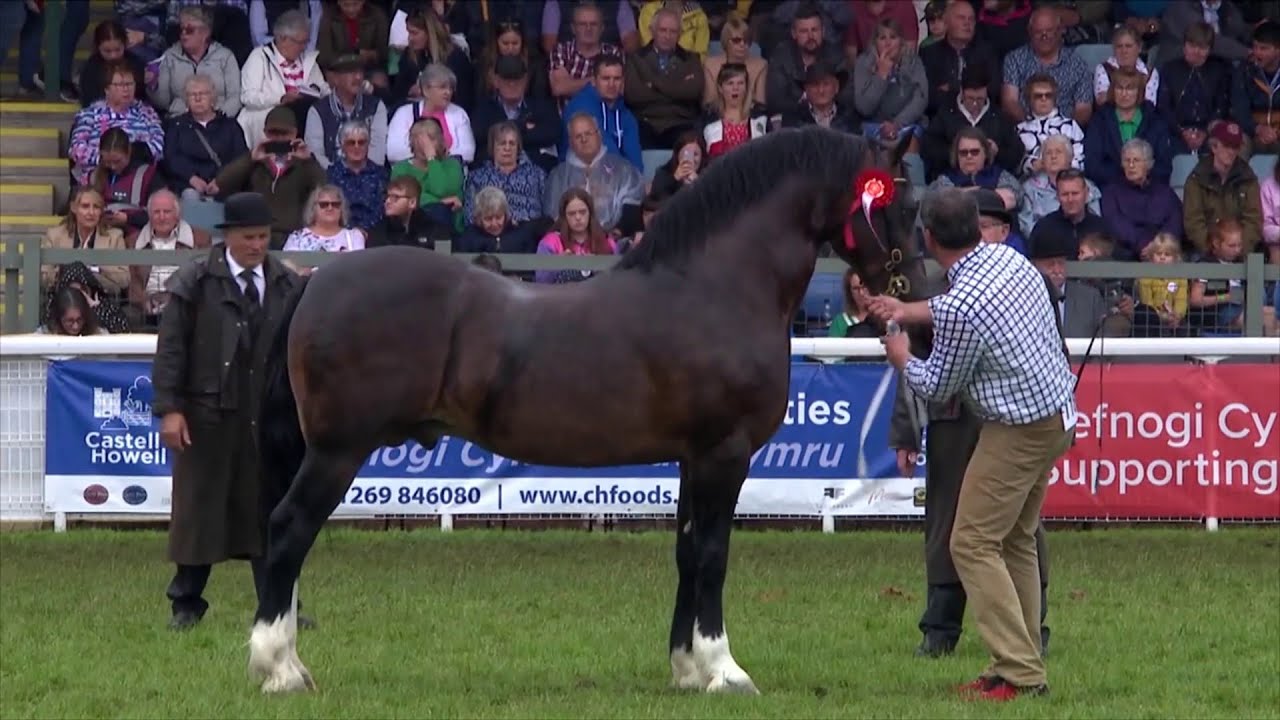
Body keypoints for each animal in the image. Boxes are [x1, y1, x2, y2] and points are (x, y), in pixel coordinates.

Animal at [247, 125, 929, 695]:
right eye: (899, 205)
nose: (919, 320)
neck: (715, 289)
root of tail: (316, 282)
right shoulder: (724, 454)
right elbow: (713, 555)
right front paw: (724, 670)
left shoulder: (693, 459)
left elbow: (687, 552)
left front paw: (686, 668)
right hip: (336, 452)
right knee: (286, 530)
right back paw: (278, 669)